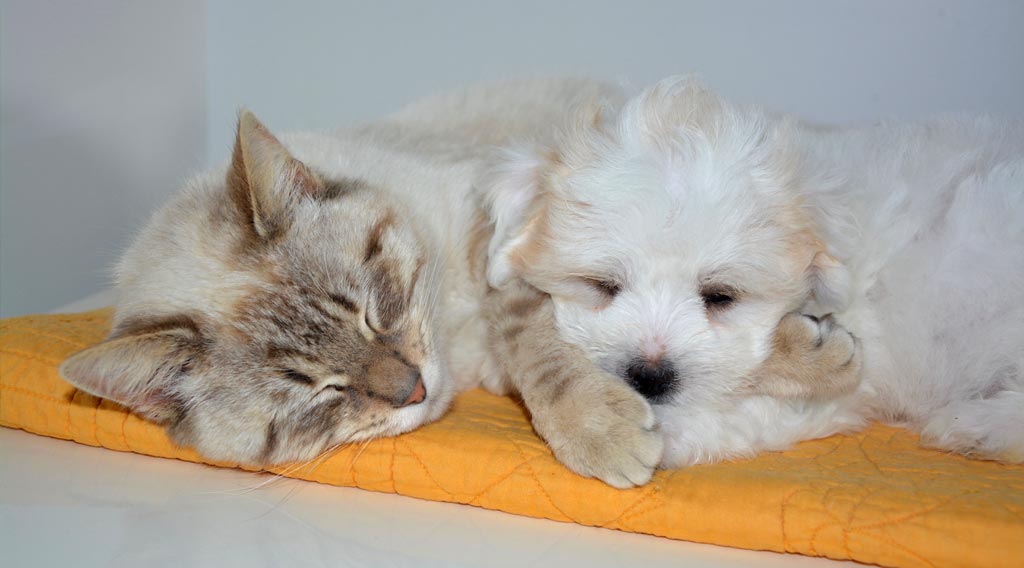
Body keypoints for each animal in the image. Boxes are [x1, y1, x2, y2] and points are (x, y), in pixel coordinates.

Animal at [58, 79, 856, 487]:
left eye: (373, 312)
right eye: (319, 394)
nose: (412, 389)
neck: (453, 330)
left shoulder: (497, 242)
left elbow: (545, 349)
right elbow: (576, 351)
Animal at [481, 77, 1024, 468]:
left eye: (720, 296)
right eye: (601, 286)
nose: (650, 376)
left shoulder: (856, 365)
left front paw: (649, 433)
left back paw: (975, 425)